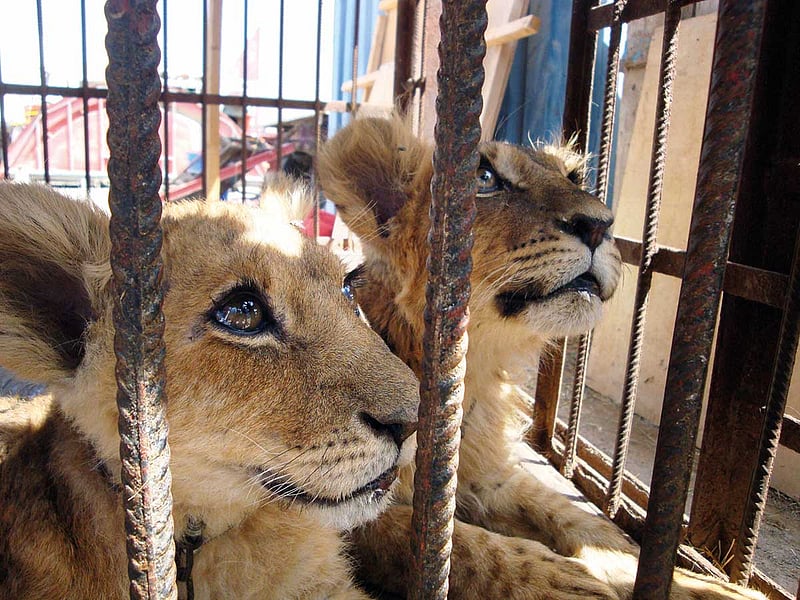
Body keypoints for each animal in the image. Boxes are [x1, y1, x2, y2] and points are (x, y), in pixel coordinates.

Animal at [318, 116, 766, 600]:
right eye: (484, 178)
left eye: (574, 178)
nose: (600, 225)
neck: (473, 370)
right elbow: (445, 542)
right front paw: (567, 584)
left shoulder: (487, 472)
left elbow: (567, 512)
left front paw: (683, 582)